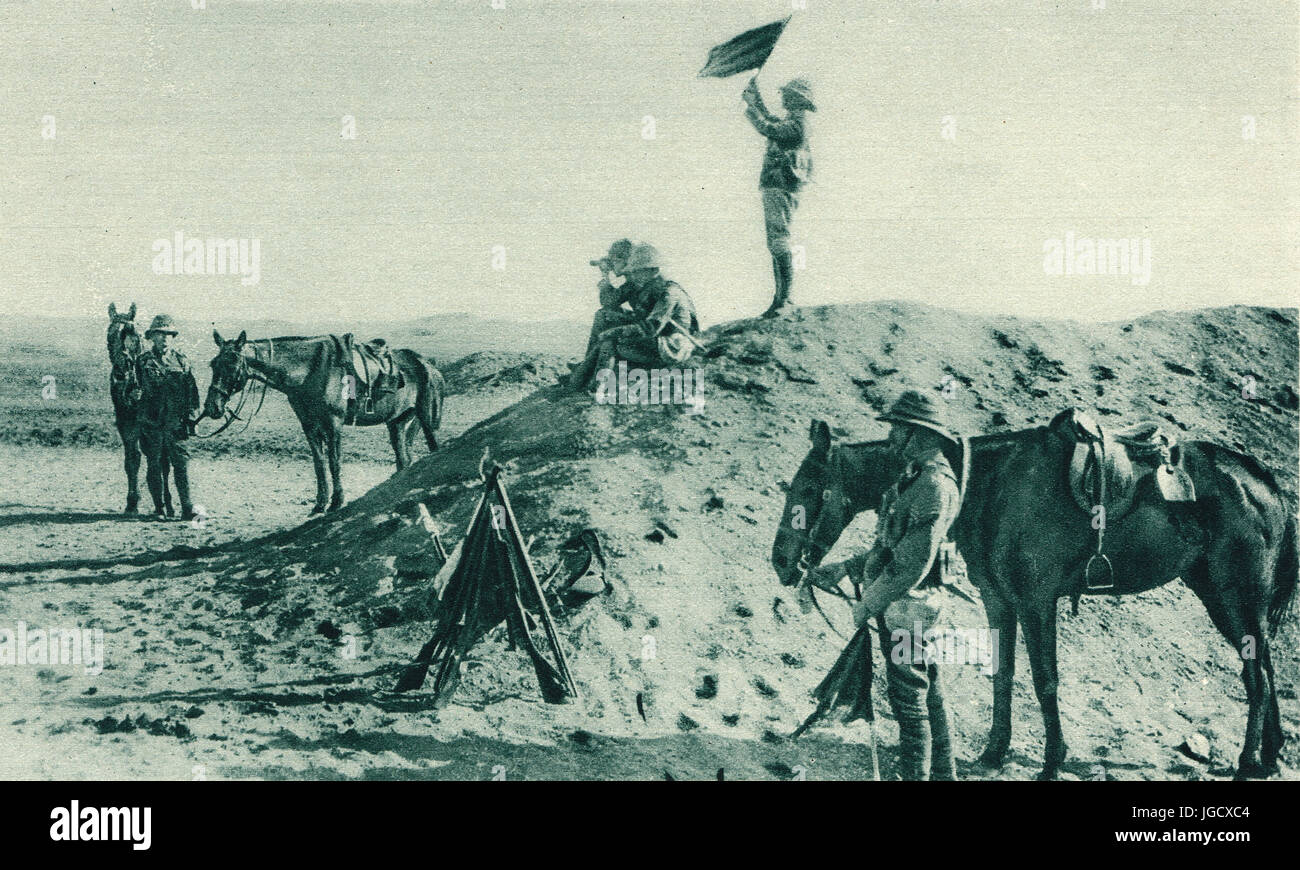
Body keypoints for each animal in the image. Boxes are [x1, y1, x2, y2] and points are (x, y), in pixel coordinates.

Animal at [105, 301, 172, 512]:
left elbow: (158, 460)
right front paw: (132, 502)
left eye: (134, 333)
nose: (120, 372)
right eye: (110, 334)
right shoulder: (126, 425)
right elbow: (132, 460)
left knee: (162, 460)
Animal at [202, 329, 444, 512]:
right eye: (213, 364)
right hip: (397, 423)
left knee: (433, 446)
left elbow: (334, 461)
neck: (310, 370)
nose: (212, 407)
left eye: (232, 365)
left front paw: (337, 501)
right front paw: (320, 503)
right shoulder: (309, 425)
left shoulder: (333, 423)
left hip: (425, 417)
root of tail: (429, 365)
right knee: (403, 457)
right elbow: (319, 463)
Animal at [774, 416, 1294, 780]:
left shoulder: (1036, 601)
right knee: (1266, 669)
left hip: (1237, 599)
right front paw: (993, 751)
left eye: (808, 488)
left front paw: (1051, 760)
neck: (987, 484)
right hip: (1221, 598)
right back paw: (1269, 755)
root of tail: (1267, 486)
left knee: (1256, 677)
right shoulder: (999, 600)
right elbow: (1003, 674)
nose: (780, 561)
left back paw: (1248, 760)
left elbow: (1046, 681)